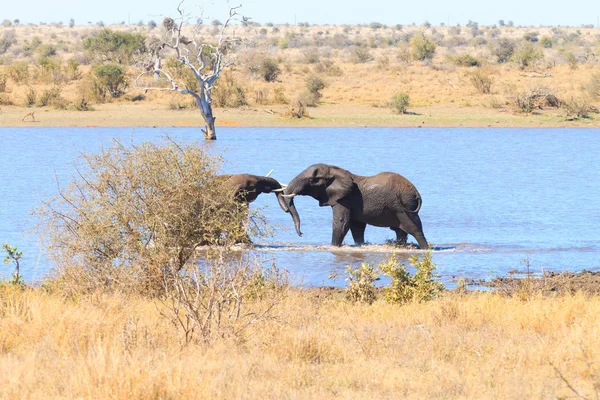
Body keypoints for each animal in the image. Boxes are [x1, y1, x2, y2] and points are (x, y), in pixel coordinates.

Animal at [282, 164, 426, 248]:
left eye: (313, 180)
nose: (301, 234)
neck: (335, 170)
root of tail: (416, 192)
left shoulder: (344, 199)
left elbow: (342, 223)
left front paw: (334, 247)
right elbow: (356, 227)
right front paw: (359, 246)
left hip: (405, 207)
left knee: (414, 228)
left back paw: (425, 248)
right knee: (401, 231)